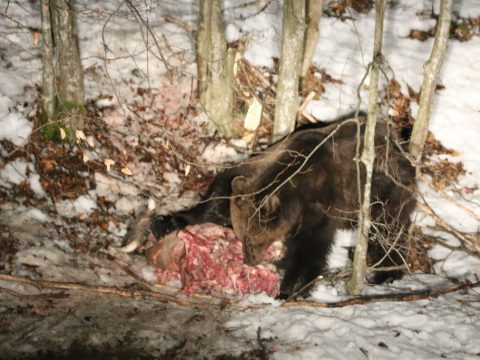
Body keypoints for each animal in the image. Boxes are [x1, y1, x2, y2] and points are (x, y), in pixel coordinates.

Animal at [148, 115, 414, 298]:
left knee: (387, 233)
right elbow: (215, 200)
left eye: (253, 241)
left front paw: (288, 289)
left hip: (385, 194)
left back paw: (388, 272)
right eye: (242, 236)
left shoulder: (318, 209)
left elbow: (310, 250)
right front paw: (166, 221)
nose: (250, 261)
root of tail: (401, 146)